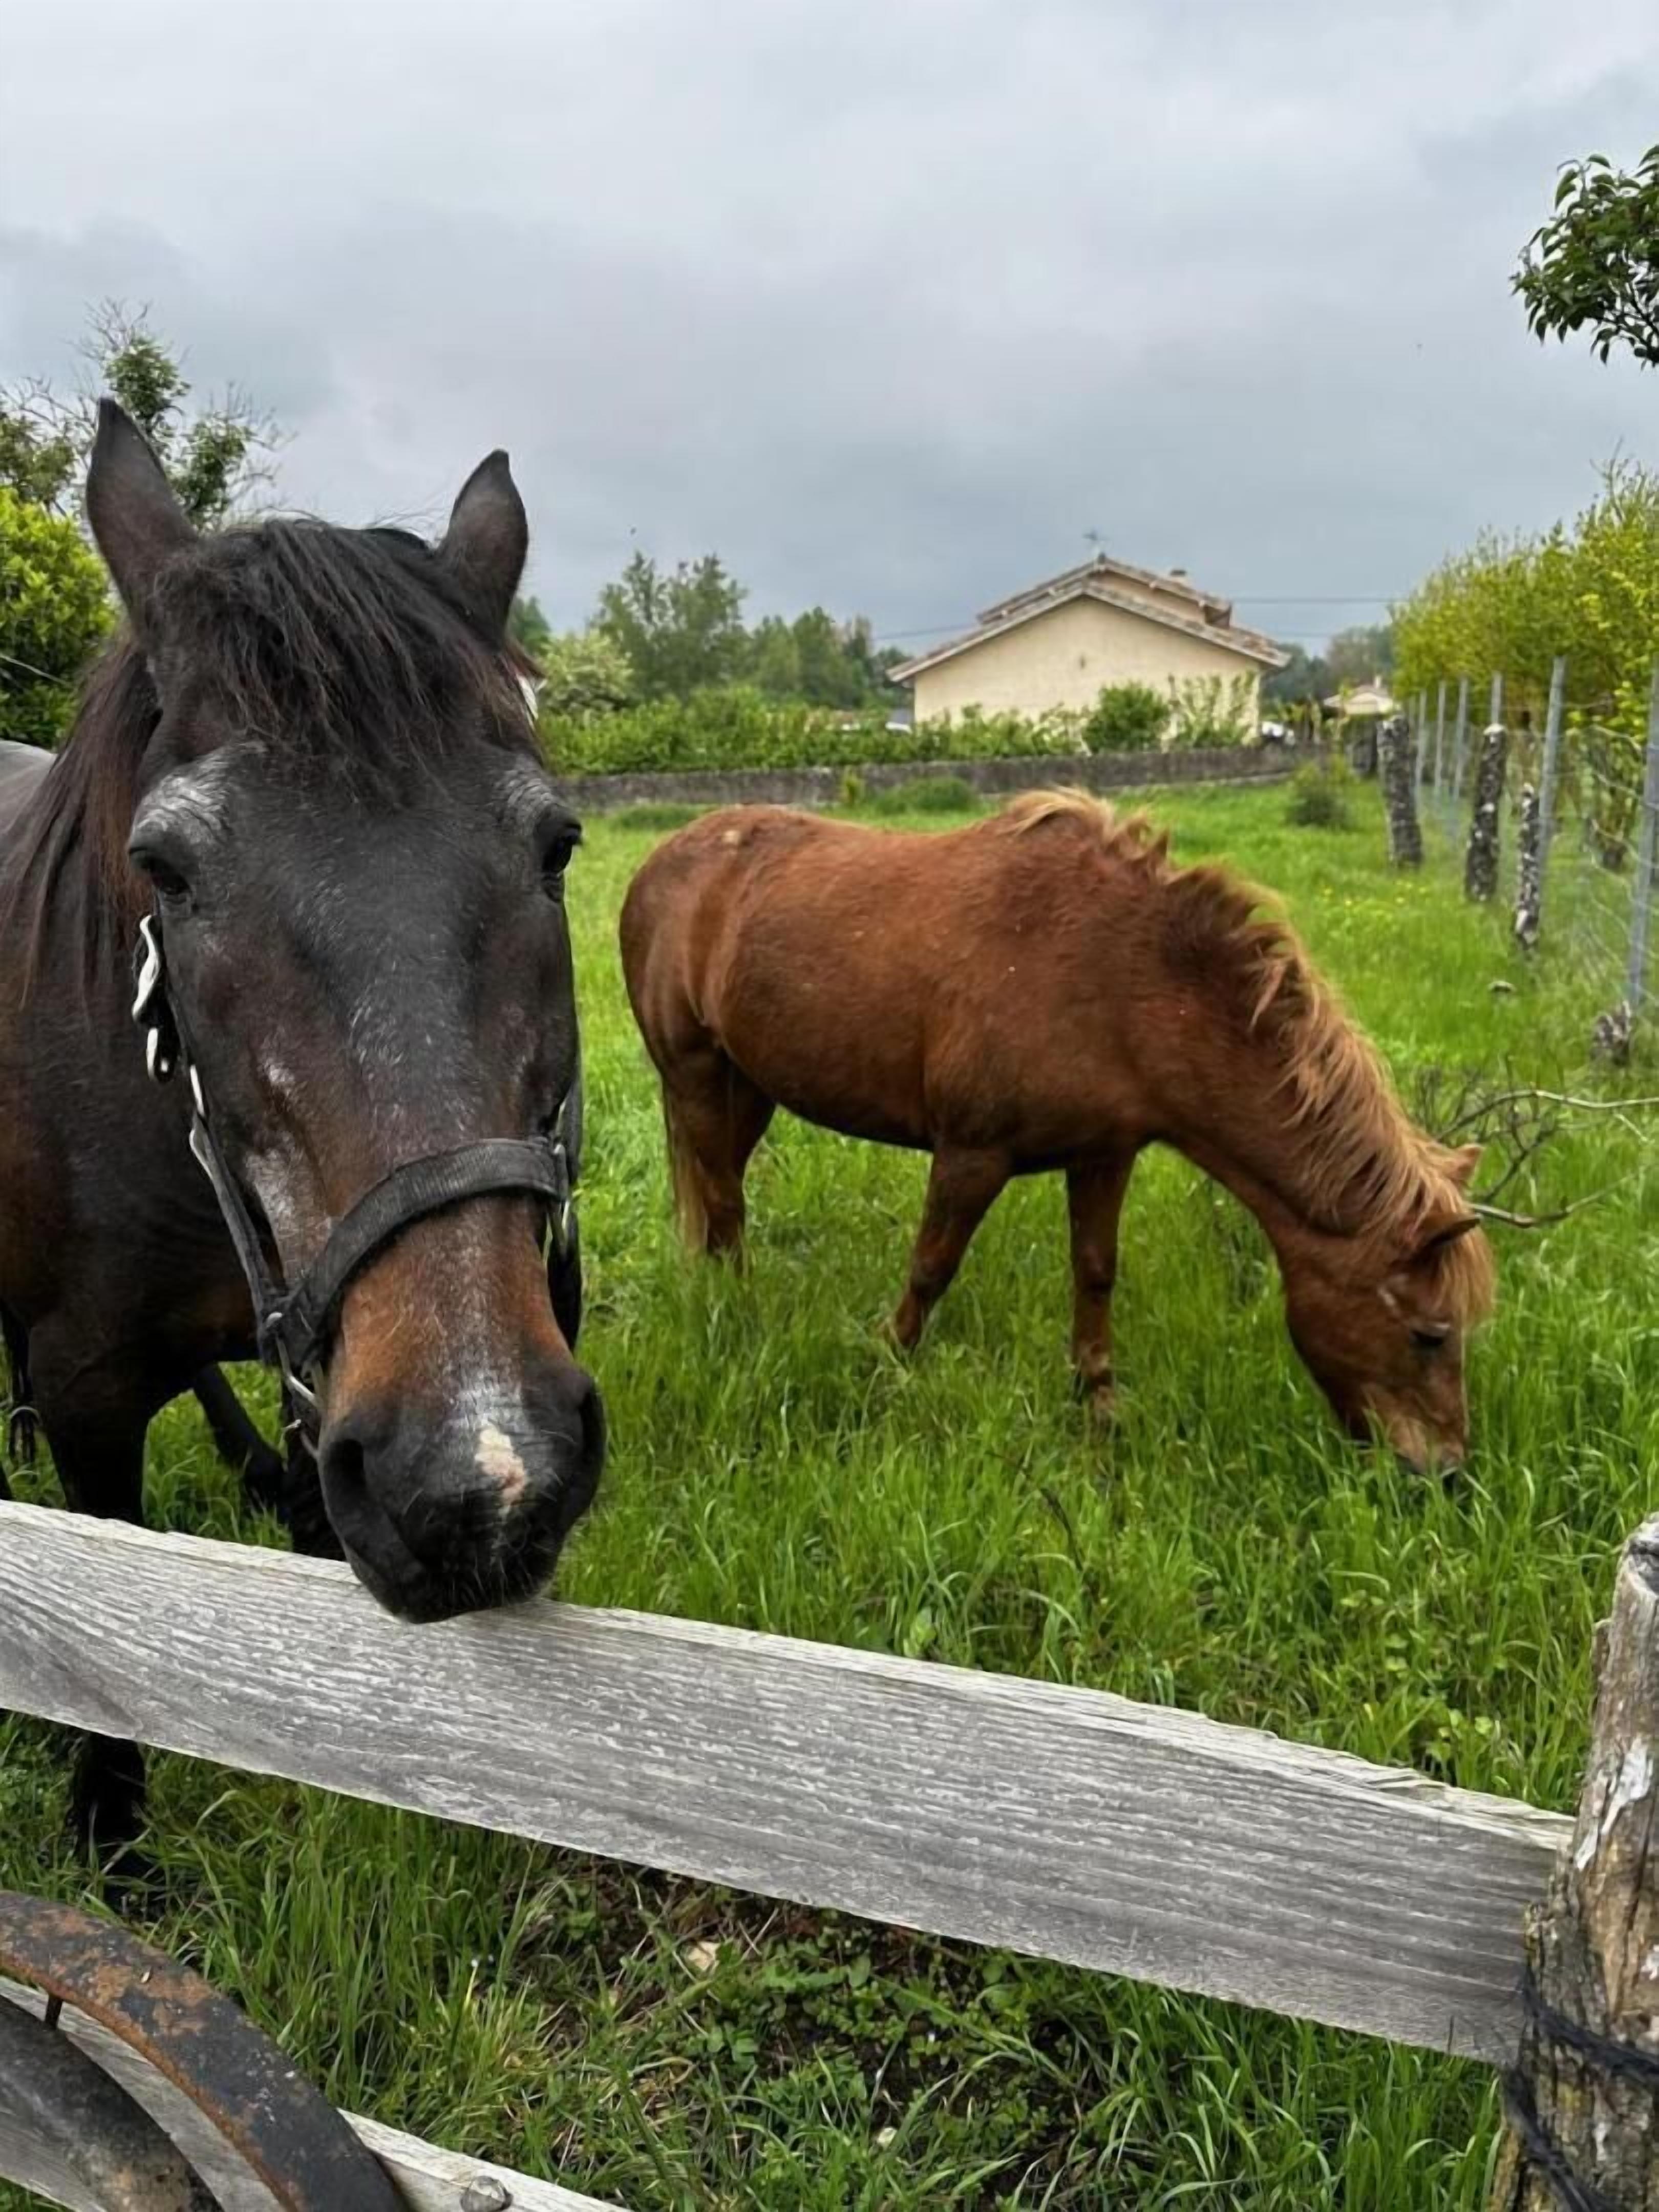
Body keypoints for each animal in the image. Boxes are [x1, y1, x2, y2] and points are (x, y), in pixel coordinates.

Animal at [620, 792, 1495, 1471]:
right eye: (1429, 1334)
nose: (1446, 1474)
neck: (1117, 980)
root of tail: (658, 866)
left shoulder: (1104, 1155)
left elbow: (1096, 1272)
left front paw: (1099, 1404)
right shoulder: (972, 1154)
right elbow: (932, 1267)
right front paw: (890, 1362)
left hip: (747, 1087)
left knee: (717, 1187)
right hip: (695, 1072)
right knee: (725, 1200)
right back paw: (739, 1311)